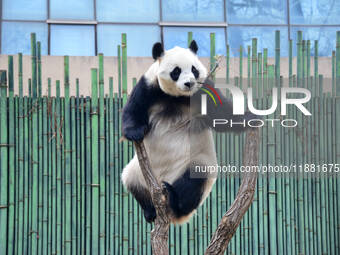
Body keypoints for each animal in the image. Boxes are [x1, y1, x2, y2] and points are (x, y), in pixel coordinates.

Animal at [122, 40, 255, 224]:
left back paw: (174, 200)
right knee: (132, 182)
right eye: (176, 71)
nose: (189, 83)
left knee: (194, 180)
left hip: (195, 161)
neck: (177, 97)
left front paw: (251, 117)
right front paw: (135, 132)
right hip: (137, 171)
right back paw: (150, 211)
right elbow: (134, 108)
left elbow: (222, 114)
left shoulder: (204, 90)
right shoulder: (149, 86)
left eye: (194, 69)